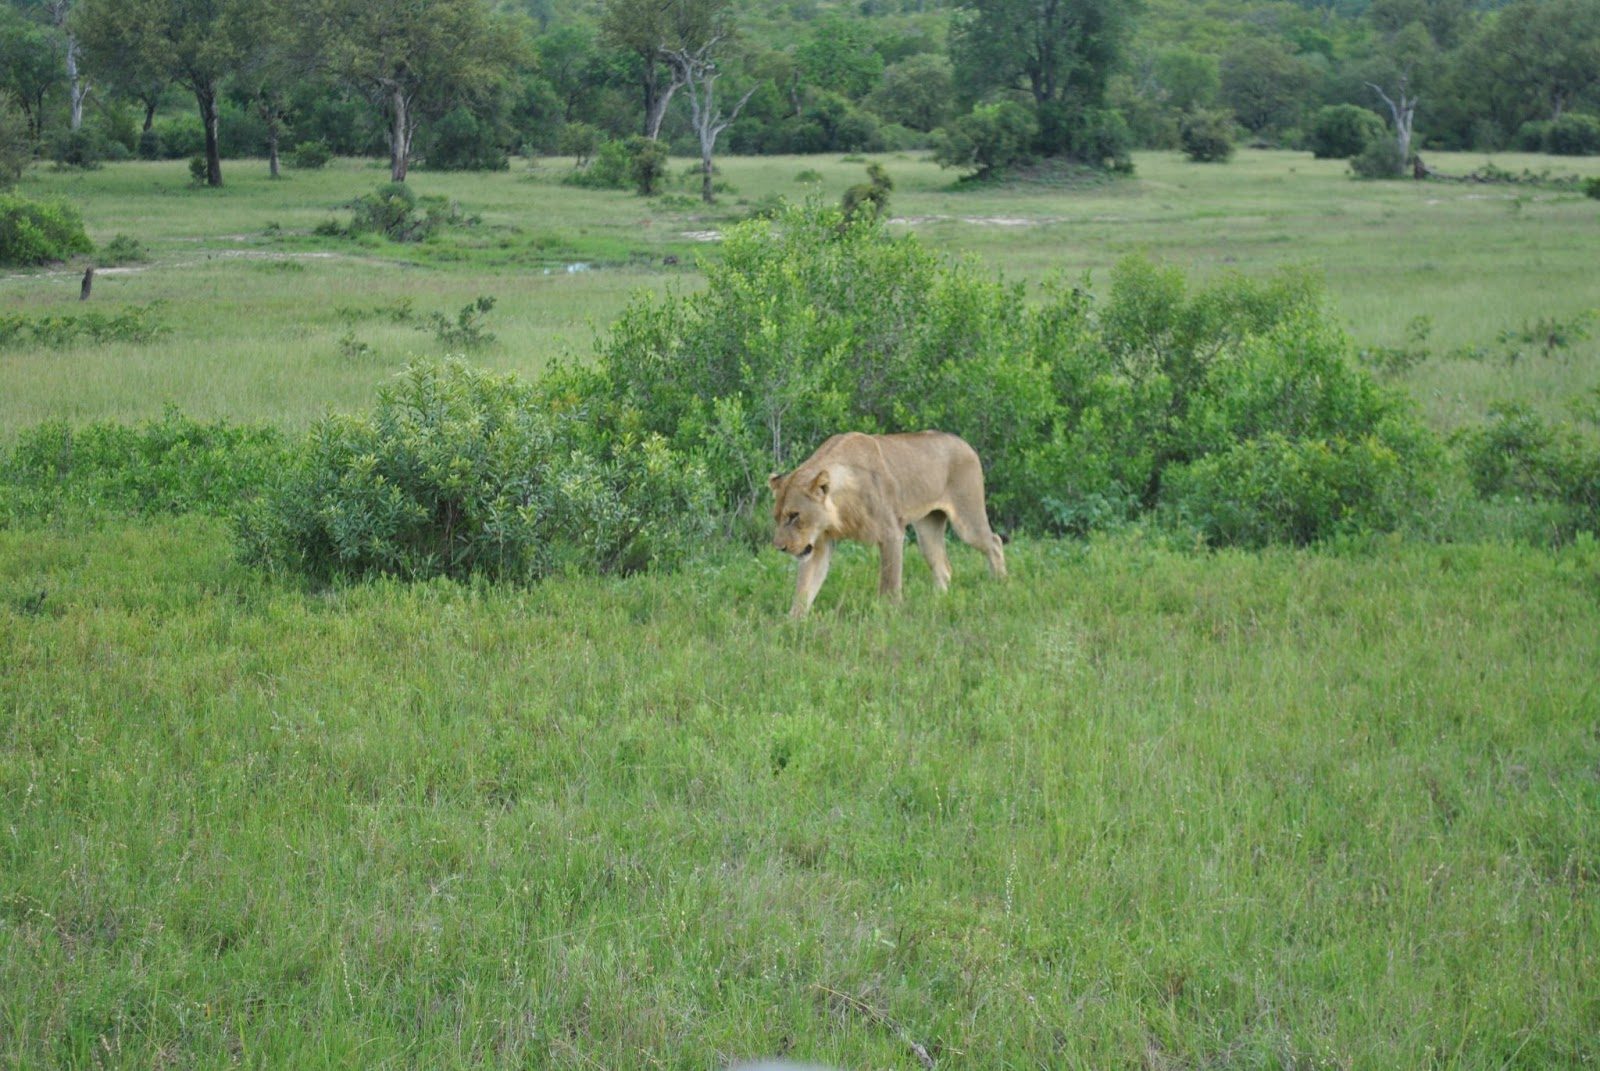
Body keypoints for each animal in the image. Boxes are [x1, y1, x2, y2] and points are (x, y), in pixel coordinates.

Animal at [768, 431, 1007, 618]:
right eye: (777, 517)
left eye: (794, 515)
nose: (779, 547)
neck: (840, 502)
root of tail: (963, 442)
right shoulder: (818, 544)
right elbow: (805, 586)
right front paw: (792, 623)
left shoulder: (891, 532)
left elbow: (889, 581)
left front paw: (889, 616)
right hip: (927, 528)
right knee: (943, 567)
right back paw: (937, 603)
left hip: (967, 519)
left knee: (994, 542)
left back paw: (999, 586)